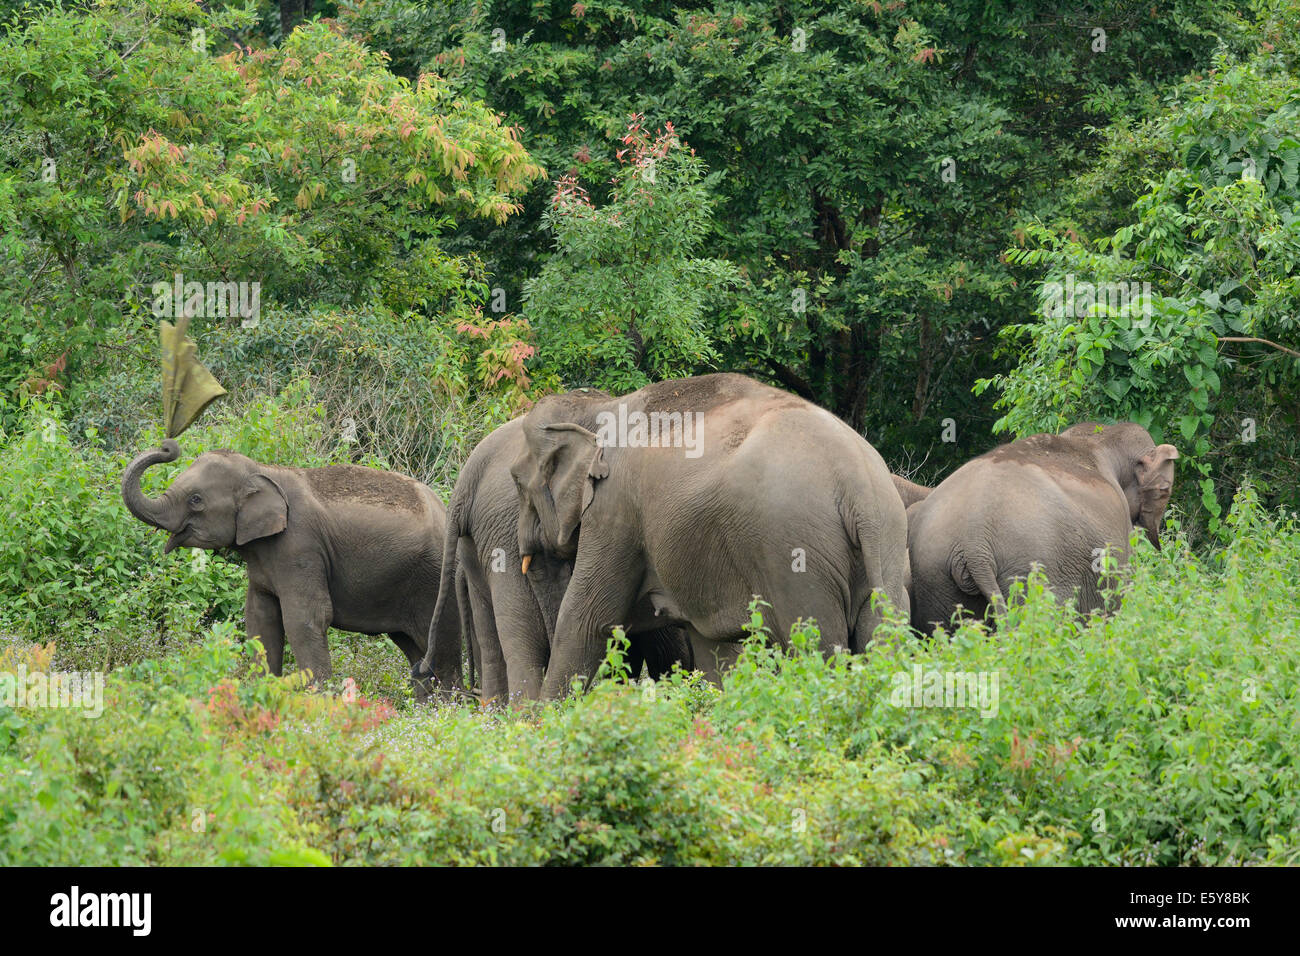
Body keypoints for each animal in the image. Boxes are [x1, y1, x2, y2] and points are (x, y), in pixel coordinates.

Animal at [121, 440, 464, 697]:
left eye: (196, 500)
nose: (168, 446)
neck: (263, 470)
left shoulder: (300, 546)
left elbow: (306, 617)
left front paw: (319, 701)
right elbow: (260, 619)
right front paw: (261, 693)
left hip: (435, 579)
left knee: (441, 644)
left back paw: (449, 711)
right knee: (413, 649)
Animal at [508, 372, 910, 700]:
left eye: (516, 480)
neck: (601, 405)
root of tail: (859, 487)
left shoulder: (615, 509)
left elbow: (587, 617)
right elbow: (714, 648)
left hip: (795, 555)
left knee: (816, 646)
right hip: (887, 546)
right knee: (880, 632)